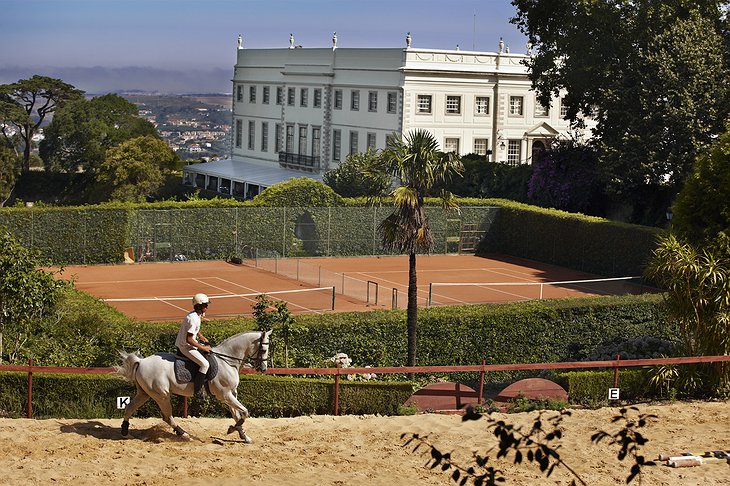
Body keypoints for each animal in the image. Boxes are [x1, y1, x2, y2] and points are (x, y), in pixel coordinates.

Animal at [116, 328, 270, 442]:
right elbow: (244, 412)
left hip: (144, 393)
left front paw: (244, 436)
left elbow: (238, 415)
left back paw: (125, 433)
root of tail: (141, 362)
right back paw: (184, 434)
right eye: (263, 350)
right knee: (167, 416)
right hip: (161, 395)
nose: (263, 369)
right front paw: (232, 429)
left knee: (129, 408)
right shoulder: (225, 395)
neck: (227, 361)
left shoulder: (230, 394)